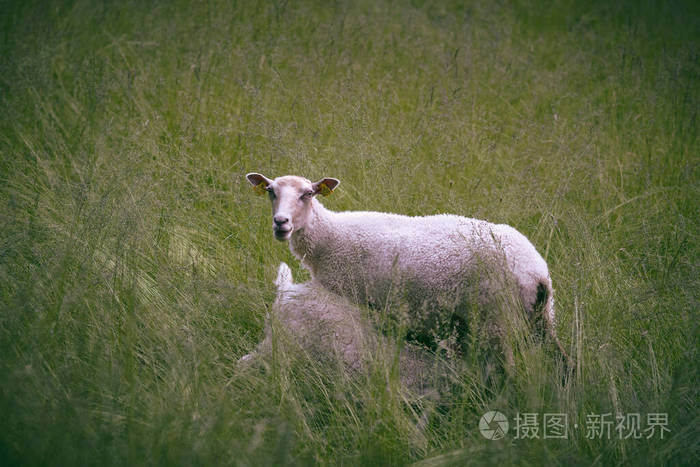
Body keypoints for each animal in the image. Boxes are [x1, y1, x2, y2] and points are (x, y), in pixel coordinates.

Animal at [246, 174, 576, 372]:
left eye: (308, 194)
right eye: (270, 192)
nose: (281, 223)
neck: (330, 236)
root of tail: (537, 272)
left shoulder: (351, 298)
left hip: (497, 321)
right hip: (542, 318)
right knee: (564, 364)